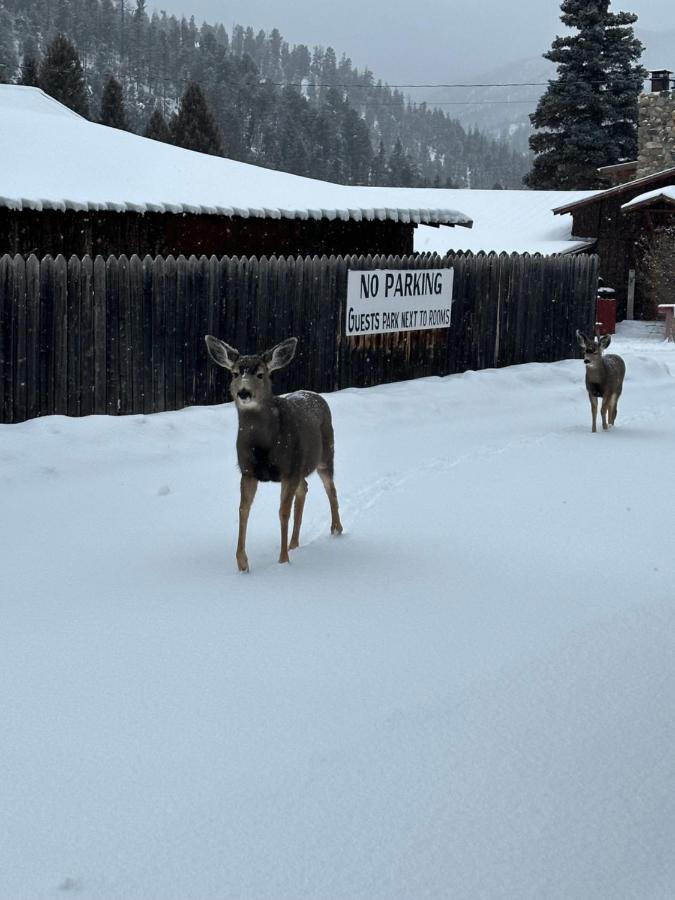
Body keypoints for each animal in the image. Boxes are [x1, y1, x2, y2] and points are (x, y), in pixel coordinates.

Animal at [204, 335, 343, 572]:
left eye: (261, 374)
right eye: (235, 373)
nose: (244, 392)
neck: (264, 447)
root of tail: (315, 395)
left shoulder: (289, 469)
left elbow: (282, 512)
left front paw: (283, 560)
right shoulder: (248, 471)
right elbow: (243, 510)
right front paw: (242, 563)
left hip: (325, 454)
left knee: (330, 488)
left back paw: (336, 529)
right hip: (303, 466)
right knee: (305, 488)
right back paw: (295, 543)